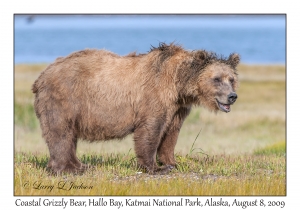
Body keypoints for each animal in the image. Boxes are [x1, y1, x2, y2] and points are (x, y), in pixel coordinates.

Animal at [32, 42, 239, 174]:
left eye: (231, 79)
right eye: (217, 79)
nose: (232, 96)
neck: (178, 84)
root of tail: (42, 75)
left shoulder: (178, 107)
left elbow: (171, 133)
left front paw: (172, 163)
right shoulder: (154, 96)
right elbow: (151, 130)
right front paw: (154, 167)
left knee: (69, 135)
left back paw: (81, 165)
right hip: (66, 98)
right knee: (61, 132)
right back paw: (68, 169)